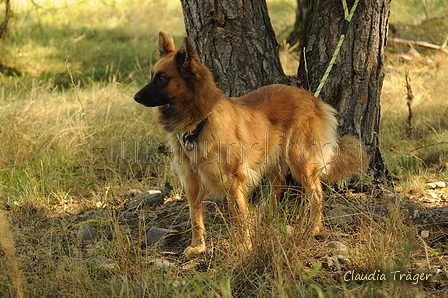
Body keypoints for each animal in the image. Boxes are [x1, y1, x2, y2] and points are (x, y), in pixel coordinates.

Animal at [134, 31, 368, 258]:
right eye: (152, 75)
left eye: (162, 78)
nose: (135, 97)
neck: (200, 121)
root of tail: (312, 98)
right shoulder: (192, 180)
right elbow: (195, 216)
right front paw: (198, 246)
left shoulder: (231, 181)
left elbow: (238, 217)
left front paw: (243, 247)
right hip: (273, 158)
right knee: (278, 186)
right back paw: (268, 219)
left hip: (299, 160)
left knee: (316, 194)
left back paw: (314, 228)